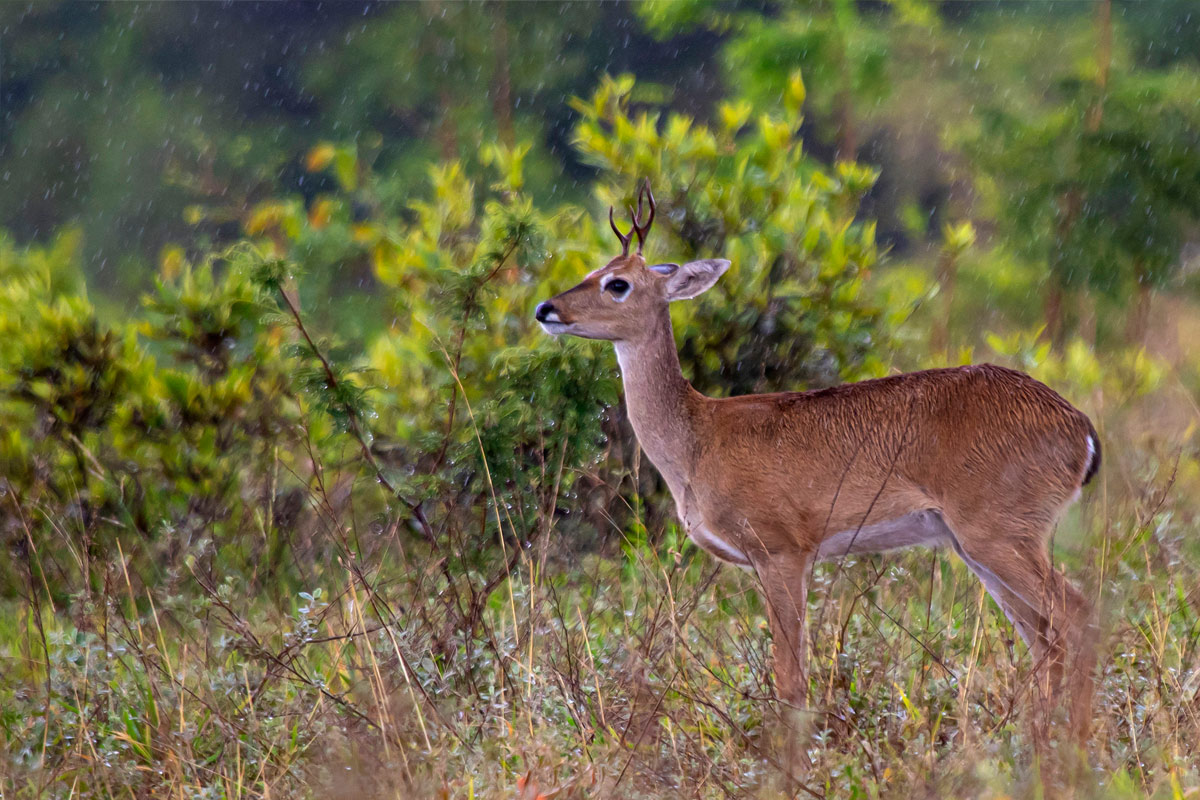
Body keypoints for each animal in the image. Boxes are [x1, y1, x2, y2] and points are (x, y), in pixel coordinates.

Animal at [535, 181, 1099, 762]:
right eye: (596, 269)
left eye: (617, 283)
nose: (544, 308)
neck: (698, 438)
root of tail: (1080, 429)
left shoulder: (782, 549)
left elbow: (791, 680)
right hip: (978, 547)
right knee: (1047, 641)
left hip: (999, 534)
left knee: (1078, 618)